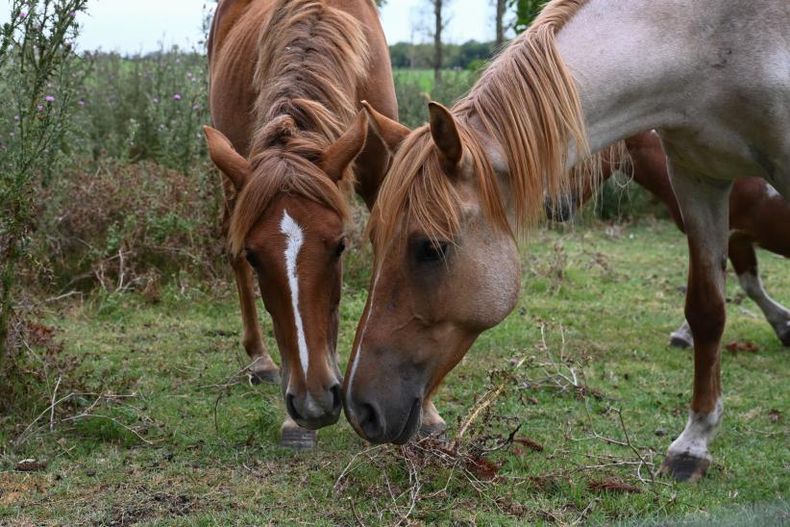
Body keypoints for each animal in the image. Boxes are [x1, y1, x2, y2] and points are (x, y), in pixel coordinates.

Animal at [548, 131, 790, 349]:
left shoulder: (727, 234)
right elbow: (751, 286)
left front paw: (684, 335)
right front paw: (784, 326)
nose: (552, 206)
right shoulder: (738, 240)